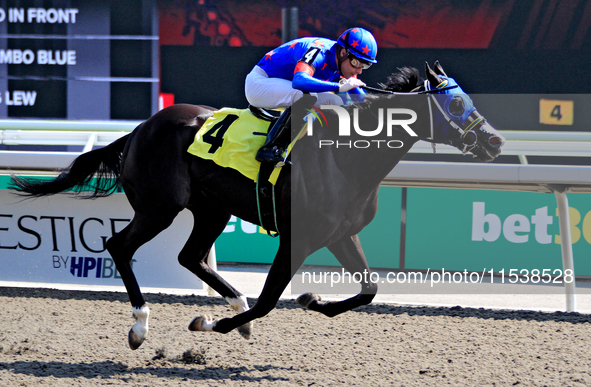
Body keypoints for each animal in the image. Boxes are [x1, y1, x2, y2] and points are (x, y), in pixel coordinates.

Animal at [10, 63, 504, 348]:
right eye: (455, 103)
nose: (496, 142)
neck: (347, 157)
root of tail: (138, 130)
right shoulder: (297, 237)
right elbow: (269, 300)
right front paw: (209, 325)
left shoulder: (341, 233)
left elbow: (369, 289)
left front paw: (312, 299)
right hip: (159, 207)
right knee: (119, 246)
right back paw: (140, 325)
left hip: (211, 209)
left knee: (190, 255)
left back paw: (233, 304)